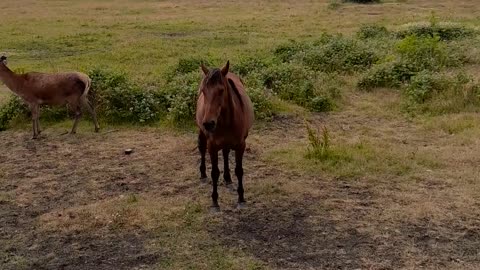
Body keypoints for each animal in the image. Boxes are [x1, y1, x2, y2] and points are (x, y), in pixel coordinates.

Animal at [195, 61, 255, 211]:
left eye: (221, 90)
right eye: (203, 91)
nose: (208, 123)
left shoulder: (240, 145)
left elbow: (239, 170)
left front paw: (241, 198)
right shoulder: (212, 146)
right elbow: (214, 173)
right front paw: (215, 201)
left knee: (226, 153)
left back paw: (227, 178)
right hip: (202, 133)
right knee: (202, 149)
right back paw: (203, 173)